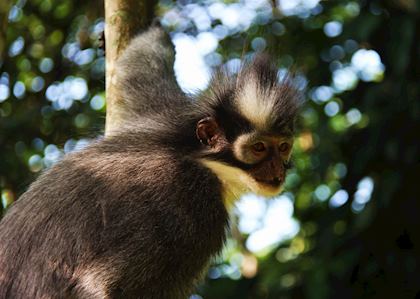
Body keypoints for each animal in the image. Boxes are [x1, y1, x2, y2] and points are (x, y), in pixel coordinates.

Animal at [0, 27, 302, 298]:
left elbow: (139, 64)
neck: (194, 154)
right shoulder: (189, 204)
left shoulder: (159, 113)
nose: (278, 171)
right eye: (259, 148)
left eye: (283, 147)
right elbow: (98, 286)